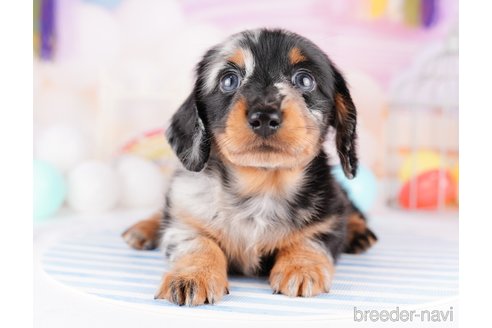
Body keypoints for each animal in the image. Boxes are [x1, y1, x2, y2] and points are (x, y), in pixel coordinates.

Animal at [122, 28, 376, 308]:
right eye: (229, 80)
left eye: (305, 80)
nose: (264, 116)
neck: (261, 186)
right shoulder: (184, 221)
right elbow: (198, 243)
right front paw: (193, 275)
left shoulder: (329, 218)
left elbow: (310, 239)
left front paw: (301, 267)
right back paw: (143, 228)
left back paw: (359, 232)